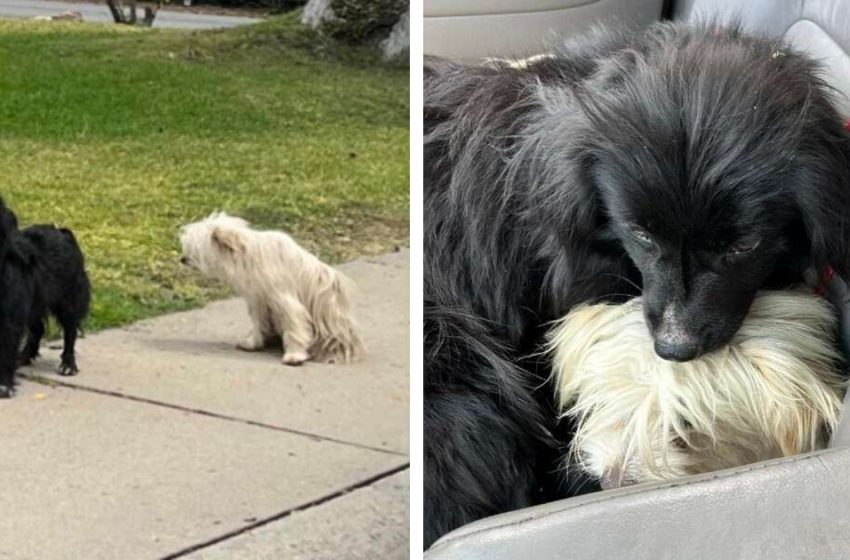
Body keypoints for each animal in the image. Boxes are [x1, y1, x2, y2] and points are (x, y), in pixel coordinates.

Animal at [179, 212, 362, 366]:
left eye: (195, 248)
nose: (182, 259)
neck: (249, 254)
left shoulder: (283, 298)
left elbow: (294, 324)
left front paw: (294, 355)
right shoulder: (258, 298)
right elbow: (258, 321)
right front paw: (253, 343)